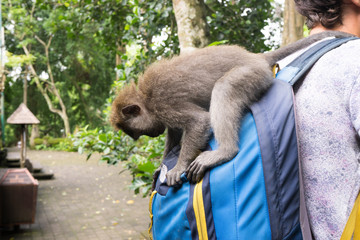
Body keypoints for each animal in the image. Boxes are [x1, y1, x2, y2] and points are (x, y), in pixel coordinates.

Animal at [109, 31, 352, 187]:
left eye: (132, 132)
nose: (139, 138)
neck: (146, 98)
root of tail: (255, 57)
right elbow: (175, 132)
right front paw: (162, 166)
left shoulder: (163, 103)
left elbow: (198, 122)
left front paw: (178, 166)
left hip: (252, 73)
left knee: (224, 88)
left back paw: (225, 151)